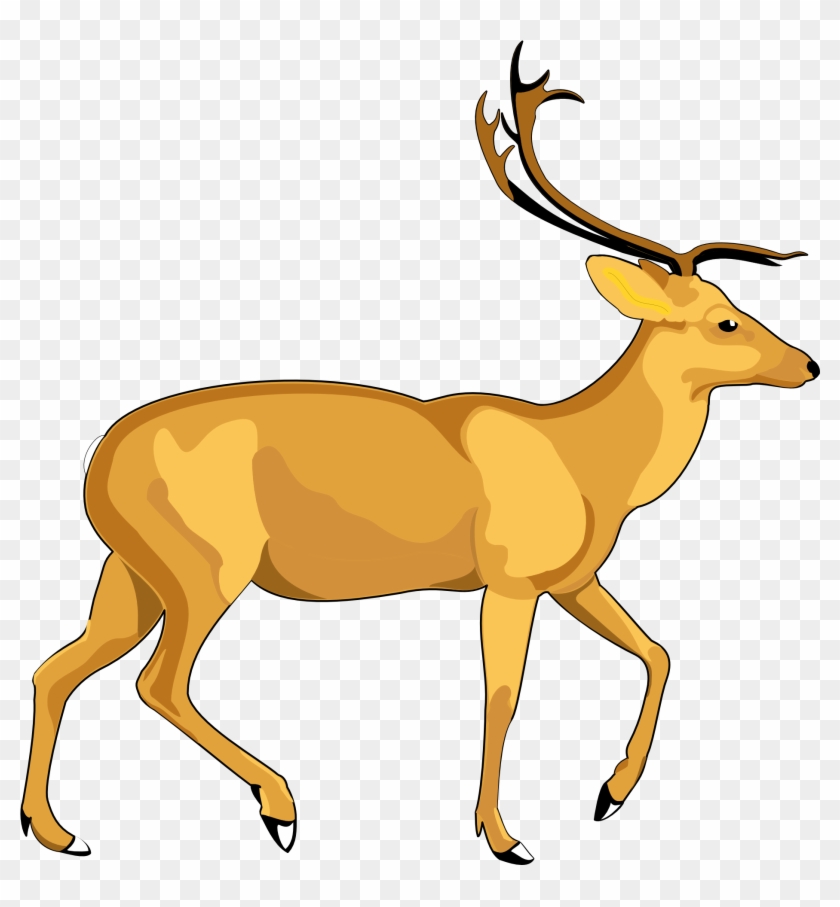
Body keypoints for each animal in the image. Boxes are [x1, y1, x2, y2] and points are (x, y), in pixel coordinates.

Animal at [21, 42, 818, 865]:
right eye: (726, 320)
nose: (809, 365)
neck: (586, 460)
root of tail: (96, 466)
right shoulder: (511, 578)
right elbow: (505, 693)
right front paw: (504, 837)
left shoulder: (572, 578)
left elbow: (657, 650)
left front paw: (609, 795)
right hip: (206, 566)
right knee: (158, 682)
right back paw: (281, 807)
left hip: (132, 572)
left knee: (55, 668)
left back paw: (56, 831)